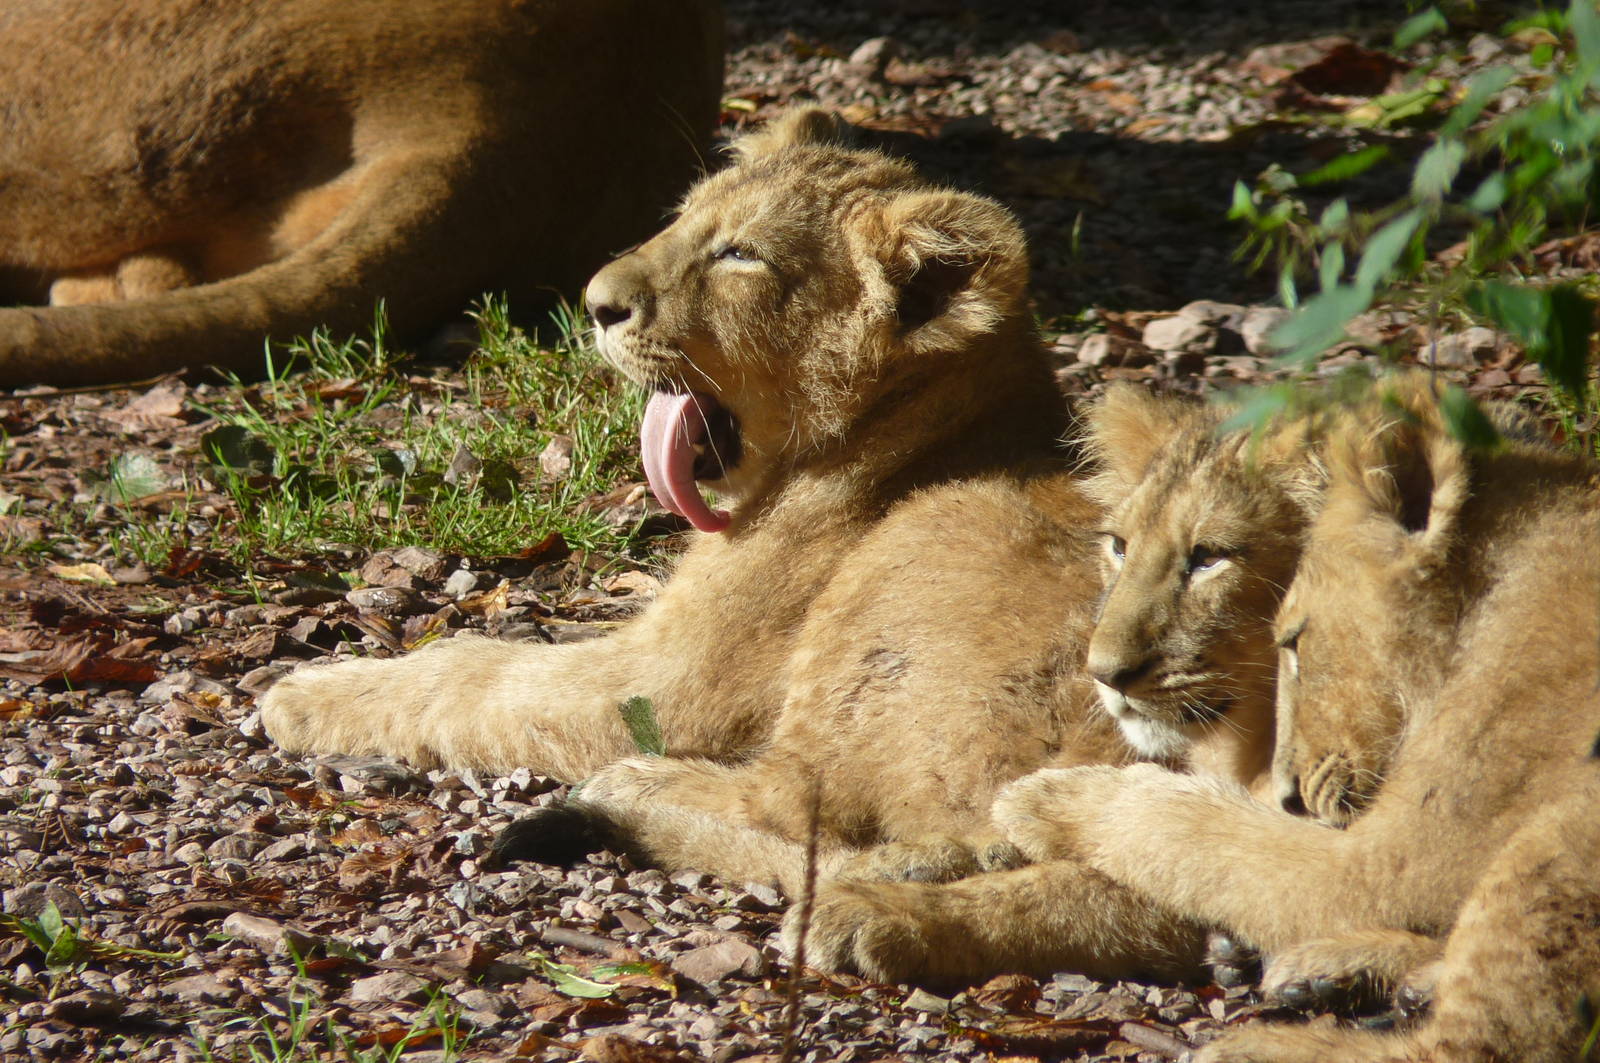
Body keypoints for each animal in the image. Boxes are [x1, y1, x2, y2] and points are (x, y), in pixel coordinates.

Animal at [262, 113, 1278, 983]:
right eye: (682, 220)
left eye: (740, 255)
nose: (594, 303)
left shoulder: (671, 683)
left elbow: (477, 672)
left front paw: (302, 692)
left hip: (910, 586)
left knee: (811, 811)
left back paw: (697, 818)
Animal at [985, 379, 1600, 1056]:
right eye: (1119, 547)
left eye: (1209, 557)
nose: (1103, 674)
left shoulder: (1390, 863)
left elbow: (1194, 833)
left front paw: (1042, 800)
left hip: (1565, 833)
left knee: (1473, 1045)